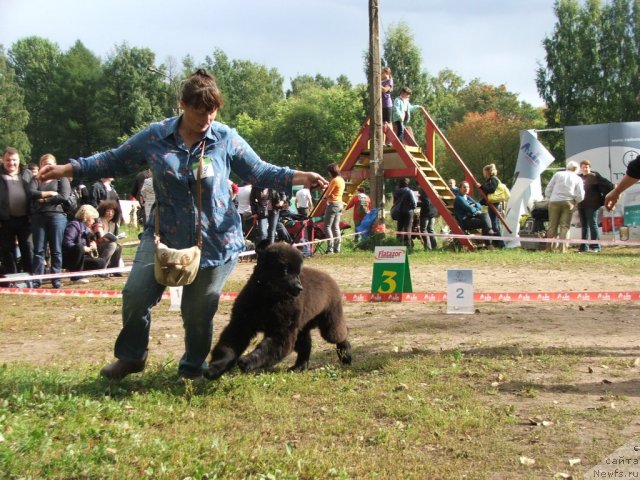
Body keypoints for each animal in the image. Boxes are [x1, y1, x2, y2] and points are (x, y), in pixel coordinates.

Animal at [205, 242, 352, 380]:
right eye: (285, 270)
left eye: (298, 272)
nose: (299, 288)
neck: (268, 299)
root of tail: (330, 278)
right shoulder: (242, 323)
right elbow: (228, 347)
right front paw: (215, 368)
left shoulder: (283, 330)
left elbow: (267, 349)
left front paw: (248, 361)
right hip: (301, 327)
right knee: (306, 346)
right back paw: (299, 366)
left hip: (329, 320)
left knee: (340, 334)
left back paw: (346, 355)